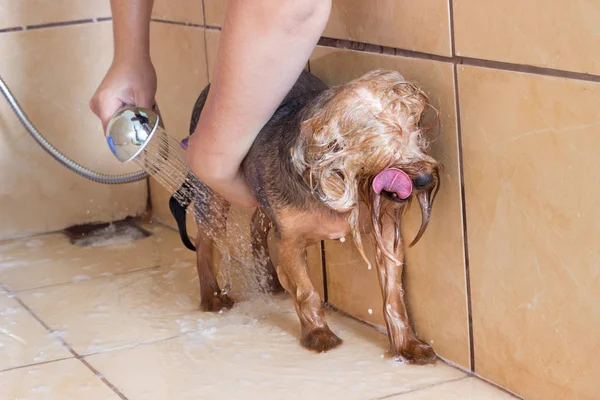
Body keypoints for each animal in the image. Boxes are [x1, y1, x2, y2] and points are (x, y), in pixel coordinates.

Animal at [169, 69, 440, 366]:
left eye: (416, 133)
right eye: (381, 143)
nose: (426, 180)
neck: (341, 181)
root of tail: (209, 88)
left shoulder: (386, 229)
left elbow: (393, 293)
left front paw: (407, 344)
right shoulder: (290, 240)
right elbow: (305, 290)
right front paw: (318, 334)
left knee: (255, 226)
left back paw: (269, 280)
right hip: (214, 187)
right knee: (204, 240)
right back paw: (212, 295)